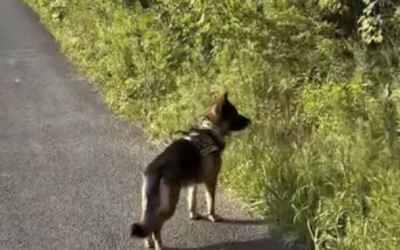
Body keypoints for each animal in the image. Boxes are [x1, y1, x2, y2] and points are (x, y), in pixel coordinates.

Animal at [130, 92, 250, 250]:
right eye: (235, 114)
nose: (250, 120)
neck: (211, 129)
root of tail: (156, 167)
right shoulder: (211, 181)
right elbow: (211, 203)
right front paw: (212, 217)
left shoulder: (191, 183)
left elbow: (192, 200)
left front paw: (193, 215)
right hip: (169, 205)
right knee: (156, 224)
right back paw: (159, 245)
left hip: (148, 203)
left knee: (147, 222)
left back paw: (148, 242)